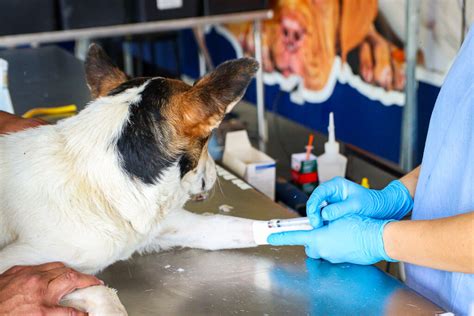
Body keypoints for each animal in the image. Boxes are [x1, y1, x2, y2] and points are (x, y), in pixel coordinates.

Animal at [0, 43, 262, 314]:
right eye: (207, 141)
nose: (214, 175)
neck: (99, 182)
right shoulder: (24, 268)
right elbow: (104, 295)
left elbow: (238, 227)